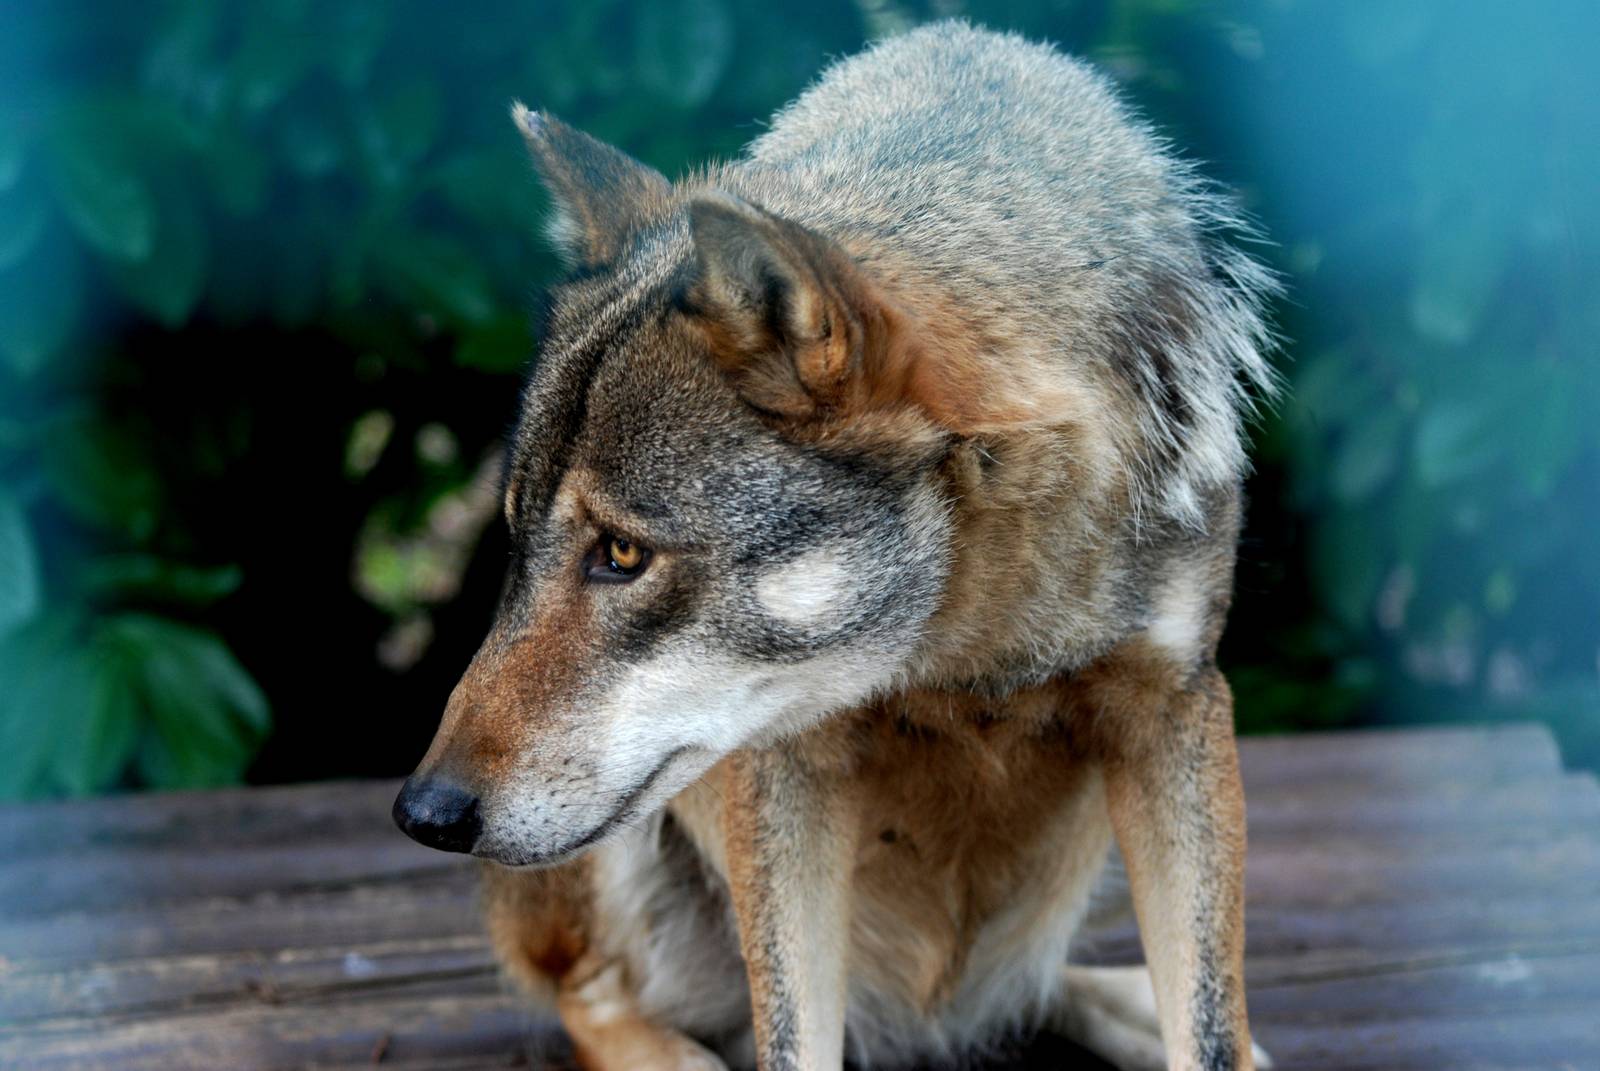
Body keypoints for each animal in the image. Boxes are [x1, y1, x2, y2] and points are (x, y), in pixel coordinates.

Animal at [393, 21, 1277, 1071]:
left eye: (620, 554)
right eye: (518, 540)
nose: (423, 812)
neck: (973, 648)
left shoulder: (1174, 710)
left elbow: (1211, 1027)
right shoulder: (788, 762)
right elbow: (789, 1035)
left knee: (1036, 991)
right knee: (593, 991)